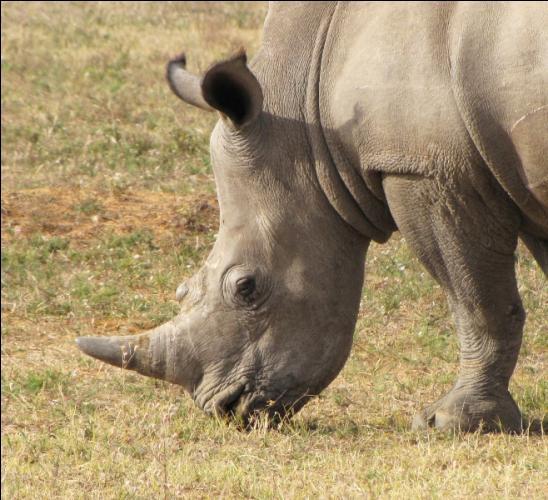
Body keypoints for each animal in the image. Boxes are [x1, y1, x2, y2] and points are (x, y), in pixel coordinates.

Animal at [76, 1, 544, 432]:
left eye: (247, 287)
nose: (225, 409)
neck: (309, 109)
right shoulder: (510, 173)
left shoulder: (426, 169)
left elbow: (475, 300)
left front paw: (451, 422)